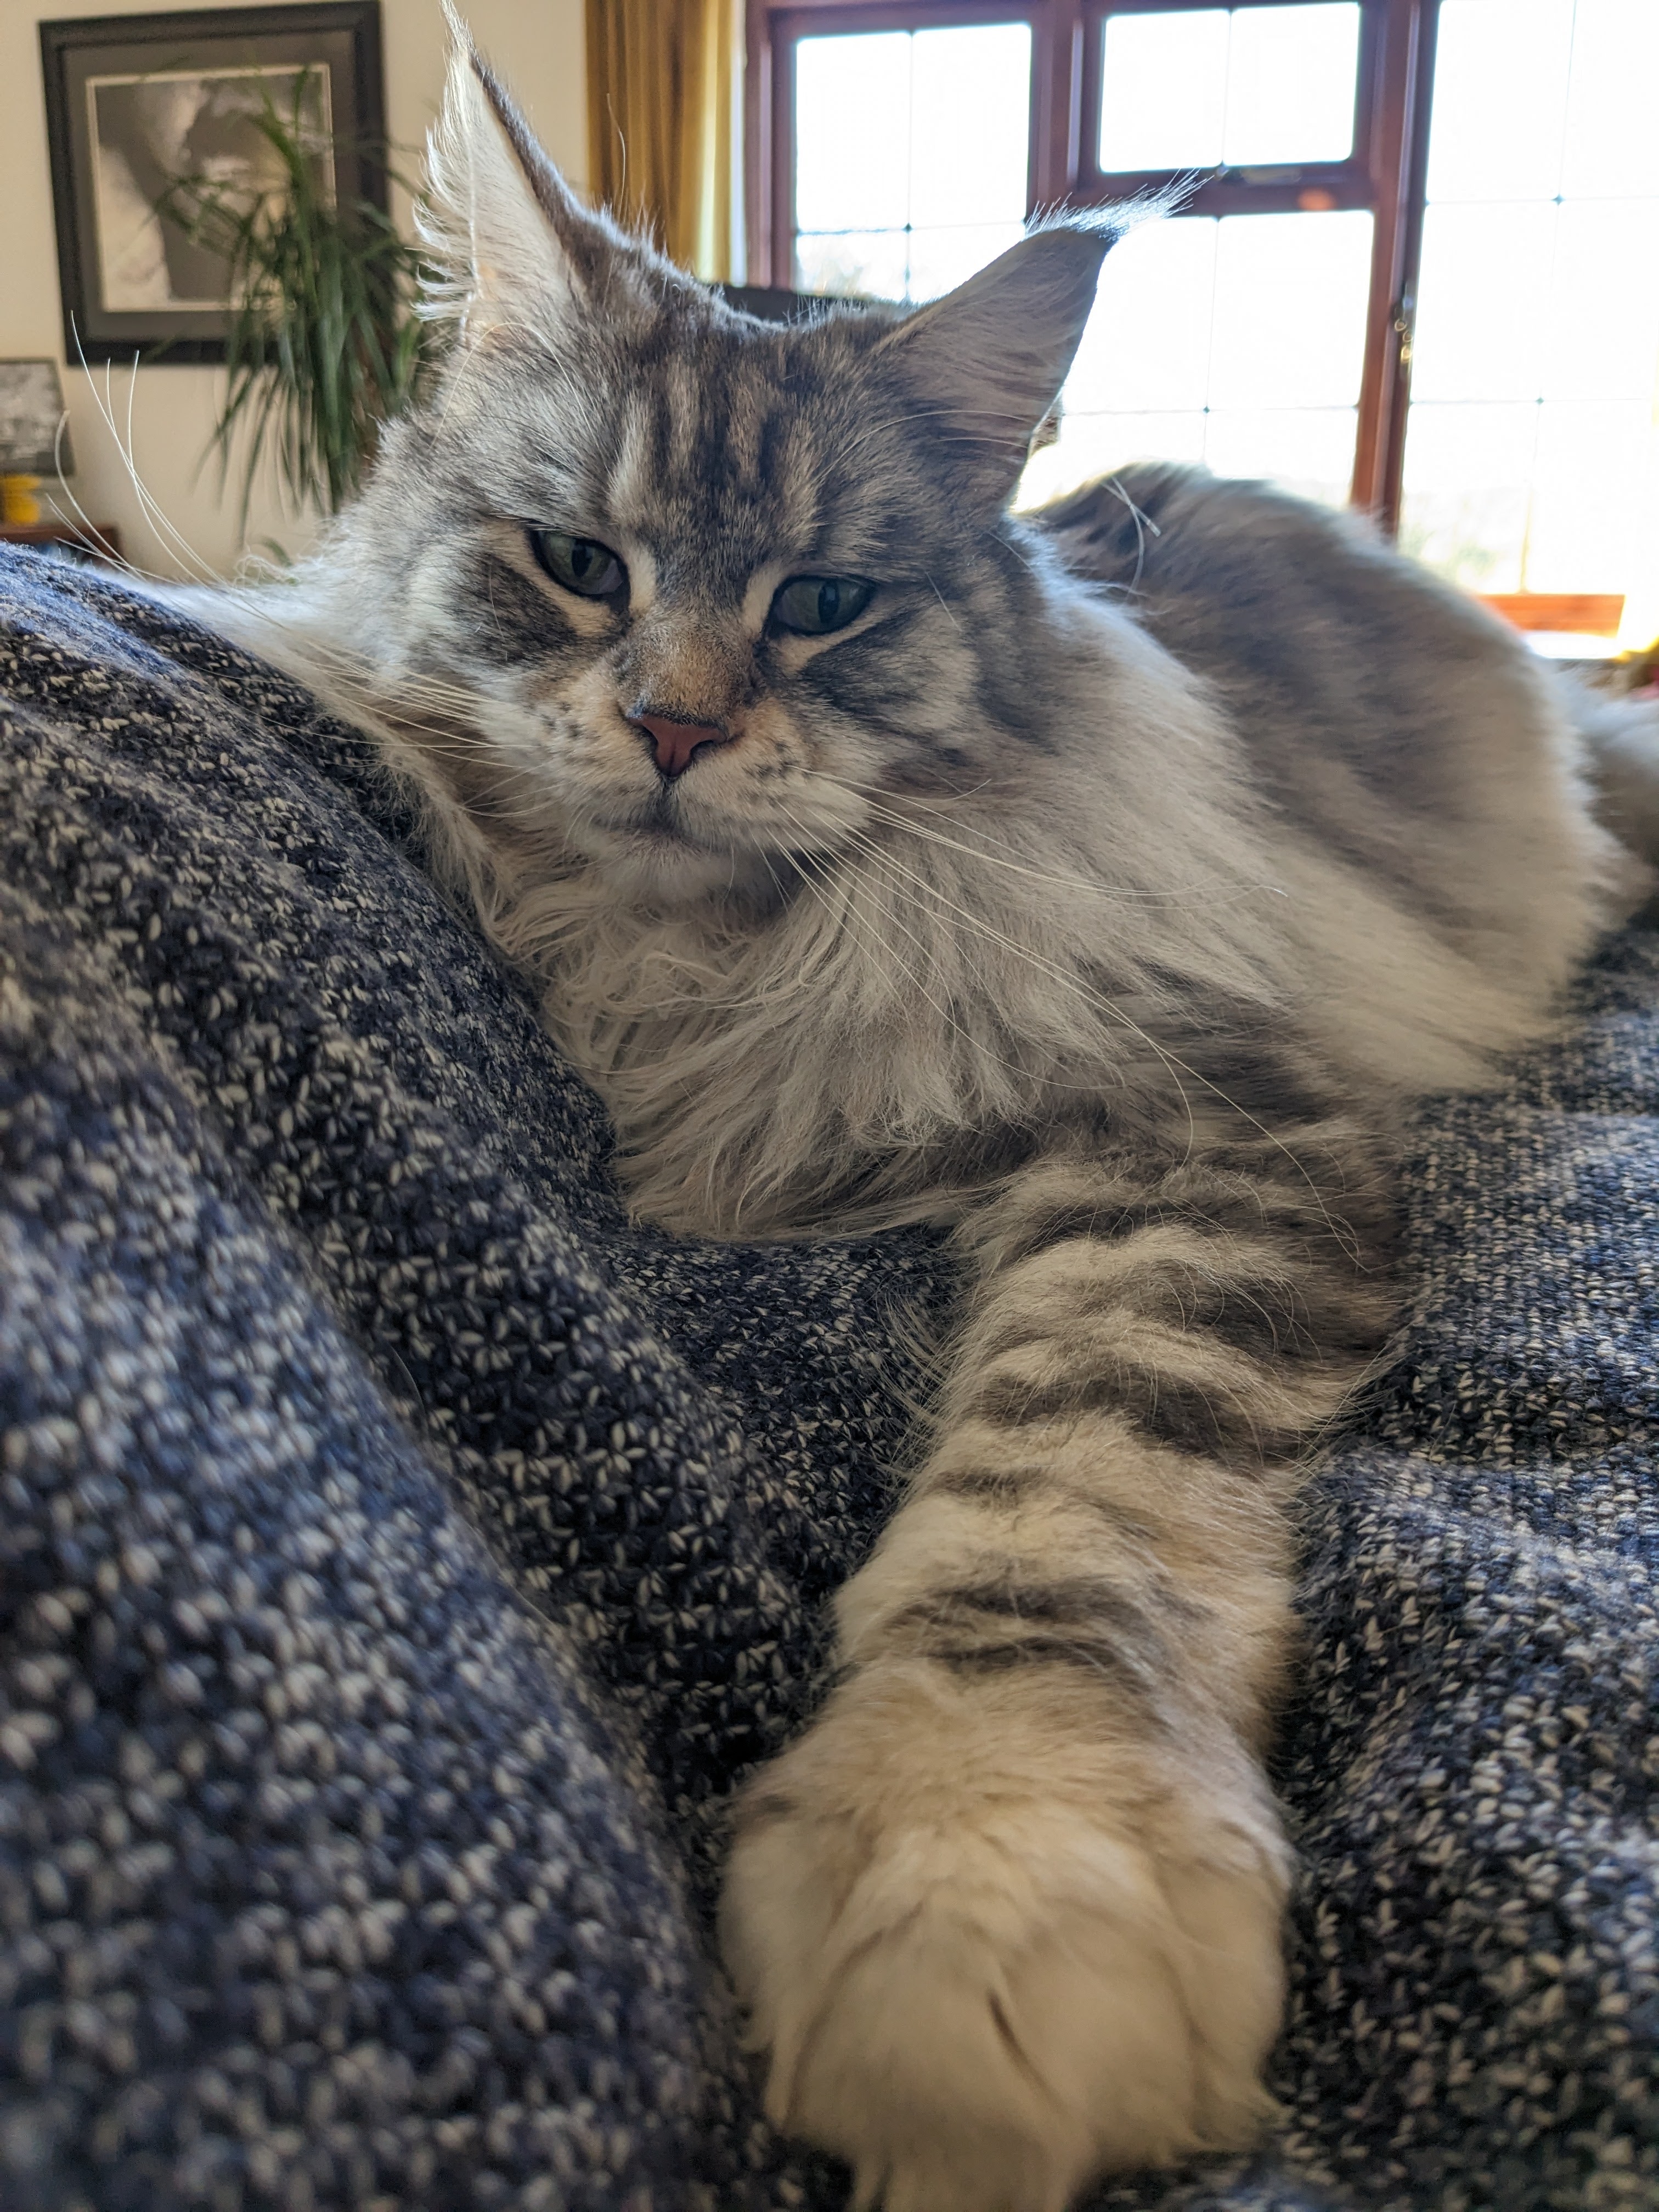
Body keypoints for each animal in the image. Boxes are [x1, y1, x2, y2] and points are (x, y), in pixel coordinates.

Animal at [189, 28, 1659, 2212]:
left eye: (822, 603)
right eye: (578, 567)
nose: (676, 726)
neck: (709, 973)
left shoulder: (1192, 1121)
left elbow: (1058, 1500)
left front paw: (980, 1867)